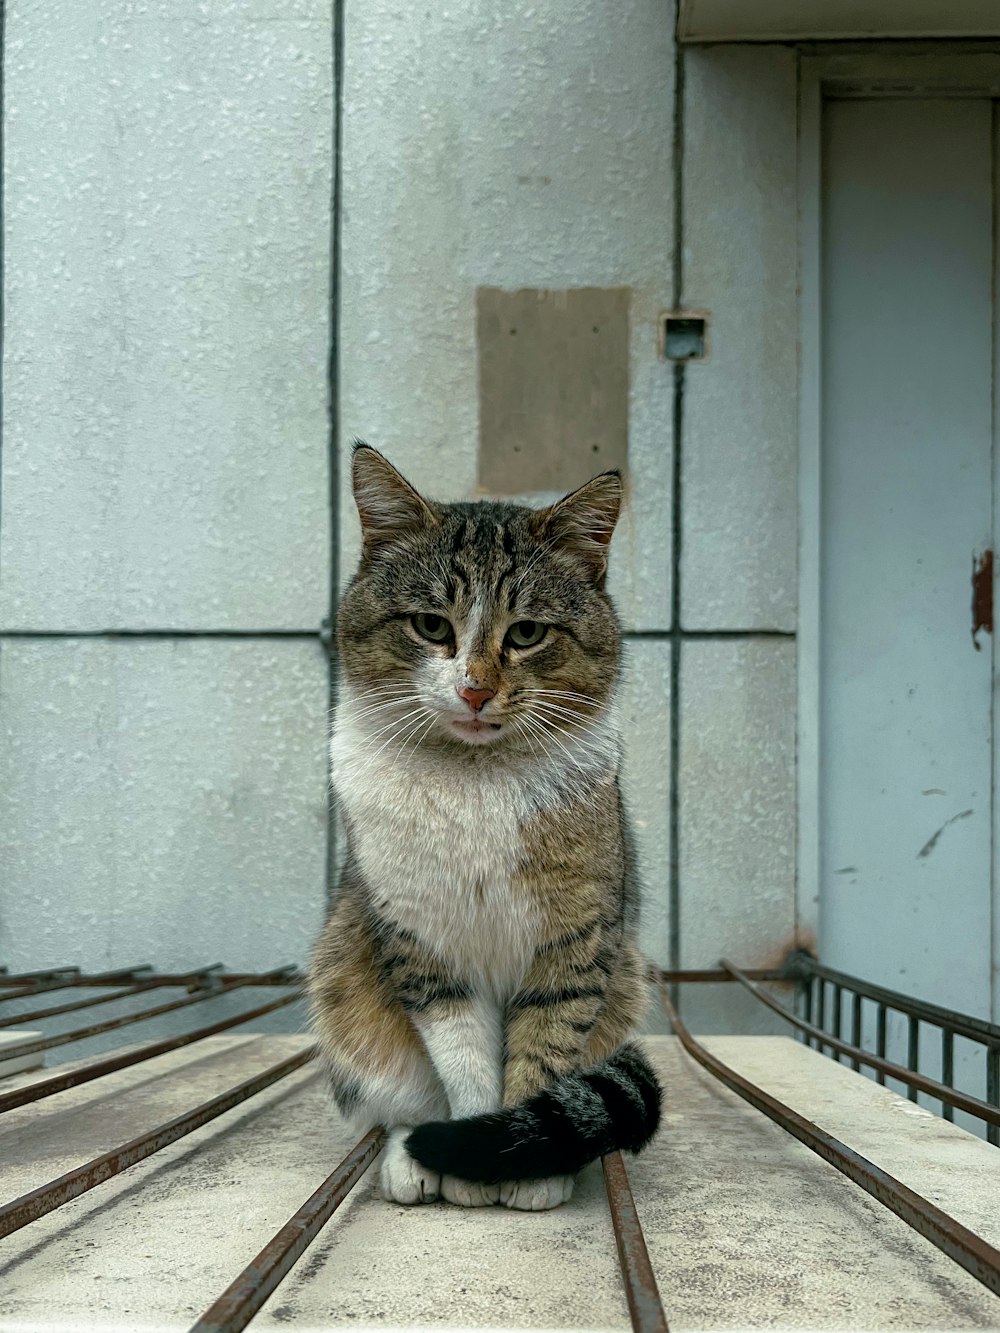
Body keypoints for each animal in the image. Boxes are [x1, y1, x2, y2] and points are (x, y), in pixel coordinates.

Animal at [309, 445, 661, 1210]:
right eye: (431, 626)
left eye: (526, 632)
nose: (475, 688)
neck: (474, 780)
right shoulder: (419, 935)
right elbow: (464, 1056)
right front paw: (466, 1154)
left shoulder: (576, 937)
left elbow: (546, 1043)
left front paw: (523, 1163)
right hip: (343, 975)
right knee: (400, 1096)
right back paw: (410, 1156)